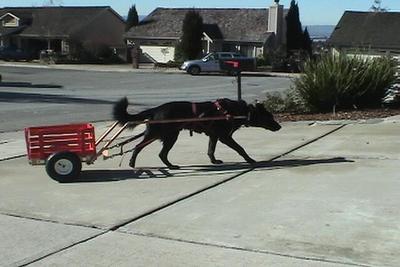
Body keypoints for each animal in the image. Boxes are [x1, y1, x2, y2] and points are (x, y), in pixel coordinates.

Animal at [112, 98, 282, 170]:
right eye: (269, 117)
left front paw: (214, 161)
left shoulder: (214, 136)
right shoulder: (225, 137)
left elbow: (211, 150)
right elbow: (240, 148)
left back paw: (171, 166)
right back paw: (132, 163)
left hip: (169, 135)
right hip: (160, 134)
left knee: (161, 153)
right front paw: (250, 160)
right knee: (139, 146)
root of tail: (155, 109)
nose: (279, 127)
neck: (239, 112)